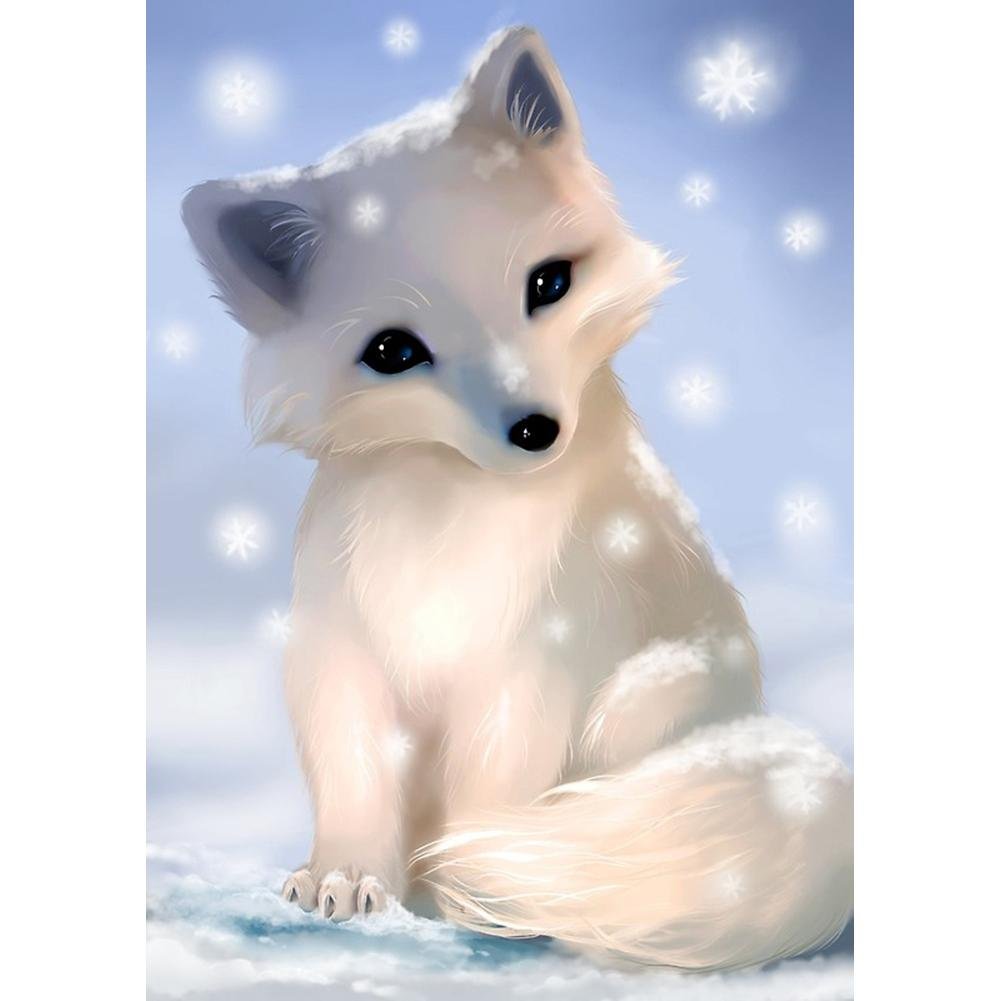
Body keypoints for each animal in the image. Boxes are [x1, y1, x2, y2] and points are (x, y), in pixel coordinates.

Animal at [181, 26, 852, 970]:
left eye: (548, 284)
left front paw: (465, 889)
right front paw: (347, 877)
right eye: (393, 351)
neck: (448, 522)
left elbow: (487, 793)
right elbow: (352, 774)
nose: (537, 429)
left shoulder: (533, 666)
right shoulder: (337, 652)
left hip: (640, 700)